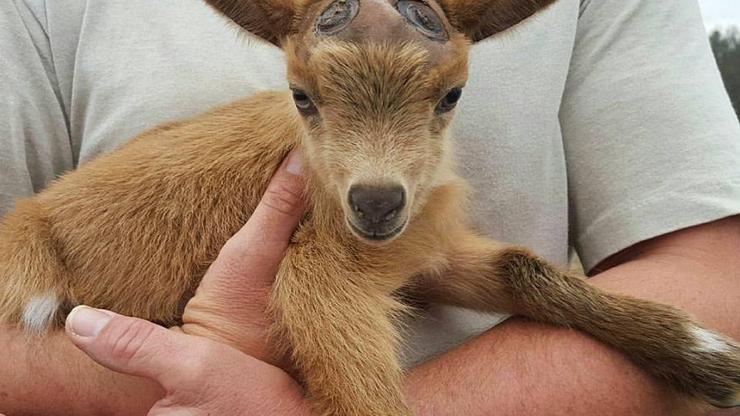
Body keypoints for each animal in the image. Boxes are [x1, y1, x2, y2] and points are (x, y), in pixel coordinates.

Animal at [1, 0, 740, 412]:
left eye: (451, 95)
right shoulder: (320, 271)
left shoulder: (424, 254)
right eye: (302, 95)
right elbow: (357, 384)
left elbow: (525, 270)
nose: (377, 204)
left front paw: (704, 358)